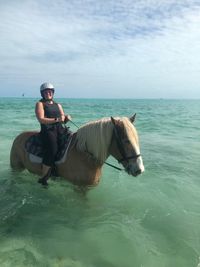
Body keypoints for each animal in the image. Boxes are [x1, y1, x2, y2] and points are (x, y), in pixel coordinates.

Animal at [9, 114, 144, 186]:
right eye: (126, 140)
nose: (139, 169)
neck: (85, 156)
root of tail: (18, 137)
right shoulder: (80, 189)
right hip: (16, 168)